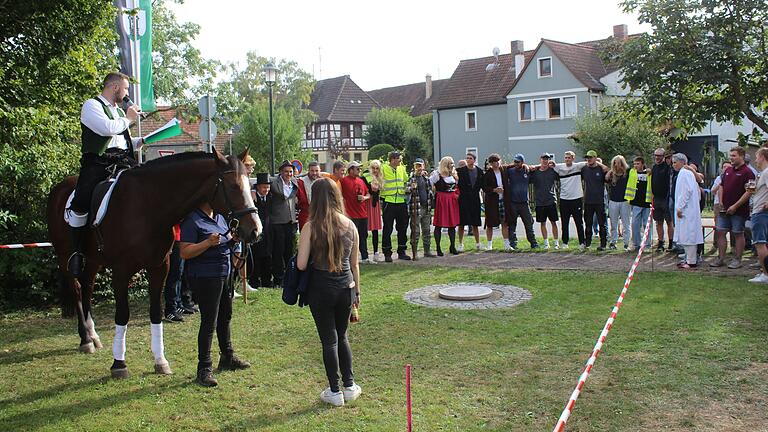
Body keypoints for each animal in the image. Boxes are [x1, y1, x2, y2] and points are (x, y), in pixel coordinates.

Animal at [45, 148, 260, 378]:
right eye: (233, 186)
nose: (255, 230)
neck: (146, 205)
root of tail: (60, 188)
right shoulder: (121, 271)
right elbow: (122, 315)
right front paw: (119, 364)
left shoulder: (159, 268)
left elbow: (156, 312)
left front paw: (160, 361)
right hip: (65, 257)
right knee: (77, 289)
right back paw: (85, 339)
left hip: (94, 260)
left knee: (87, 287)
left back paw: (93, 335)